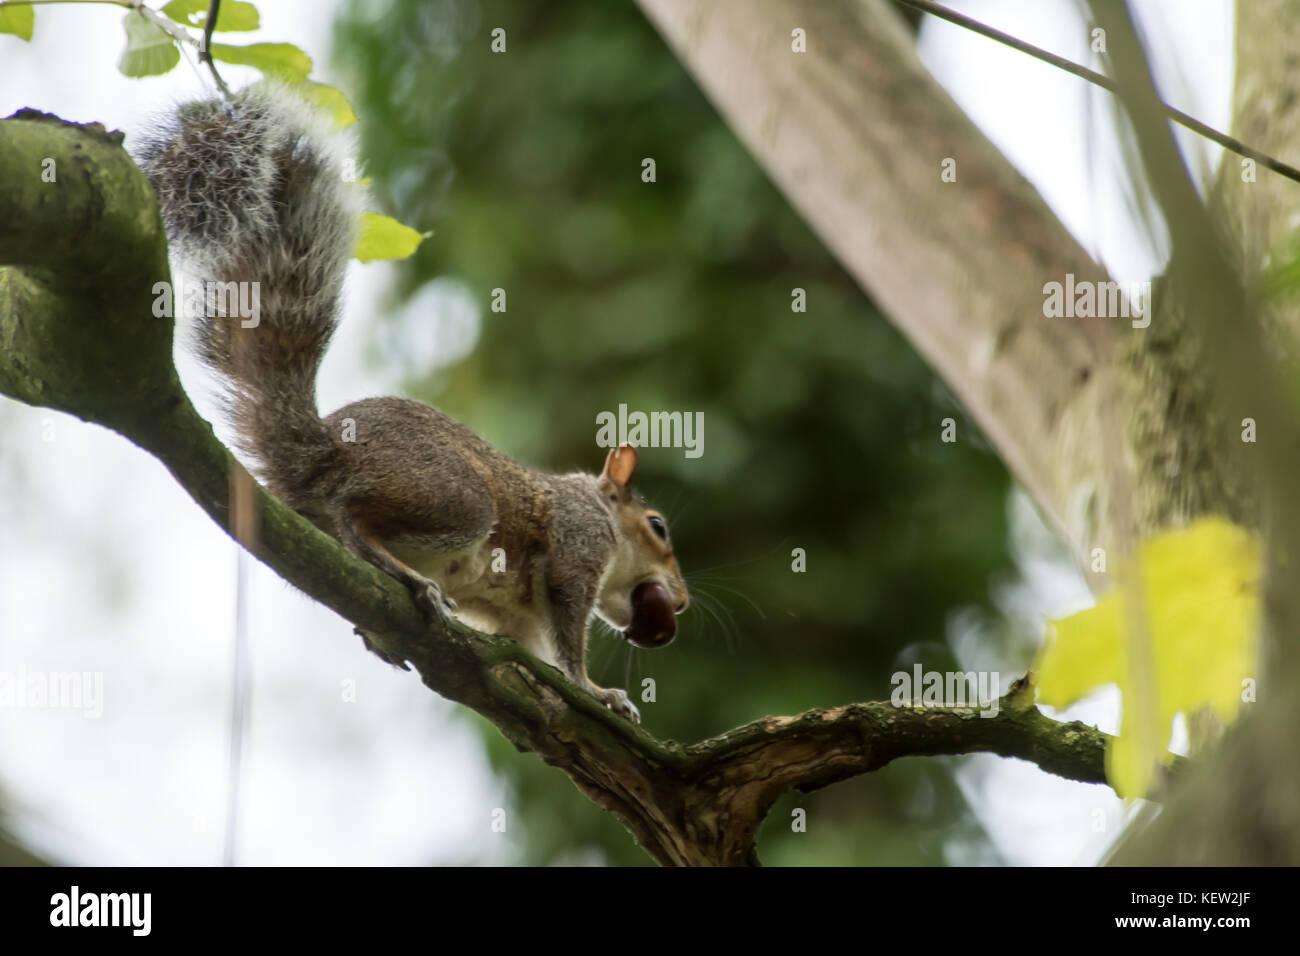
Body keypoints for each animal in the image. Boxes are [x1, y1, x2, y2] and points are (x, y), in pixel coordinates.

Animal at [134, 85, 691, 723]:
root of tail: (325, 452)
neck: (594, 507)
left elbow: (534, 655)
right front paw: (600, 693)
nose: (682, 601)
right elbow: (569, 639)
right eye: (658, 527)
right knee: (357, 520)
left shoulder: (515, 616)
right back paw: (409, 577)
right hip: (454, 498)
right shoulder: (575, 550)